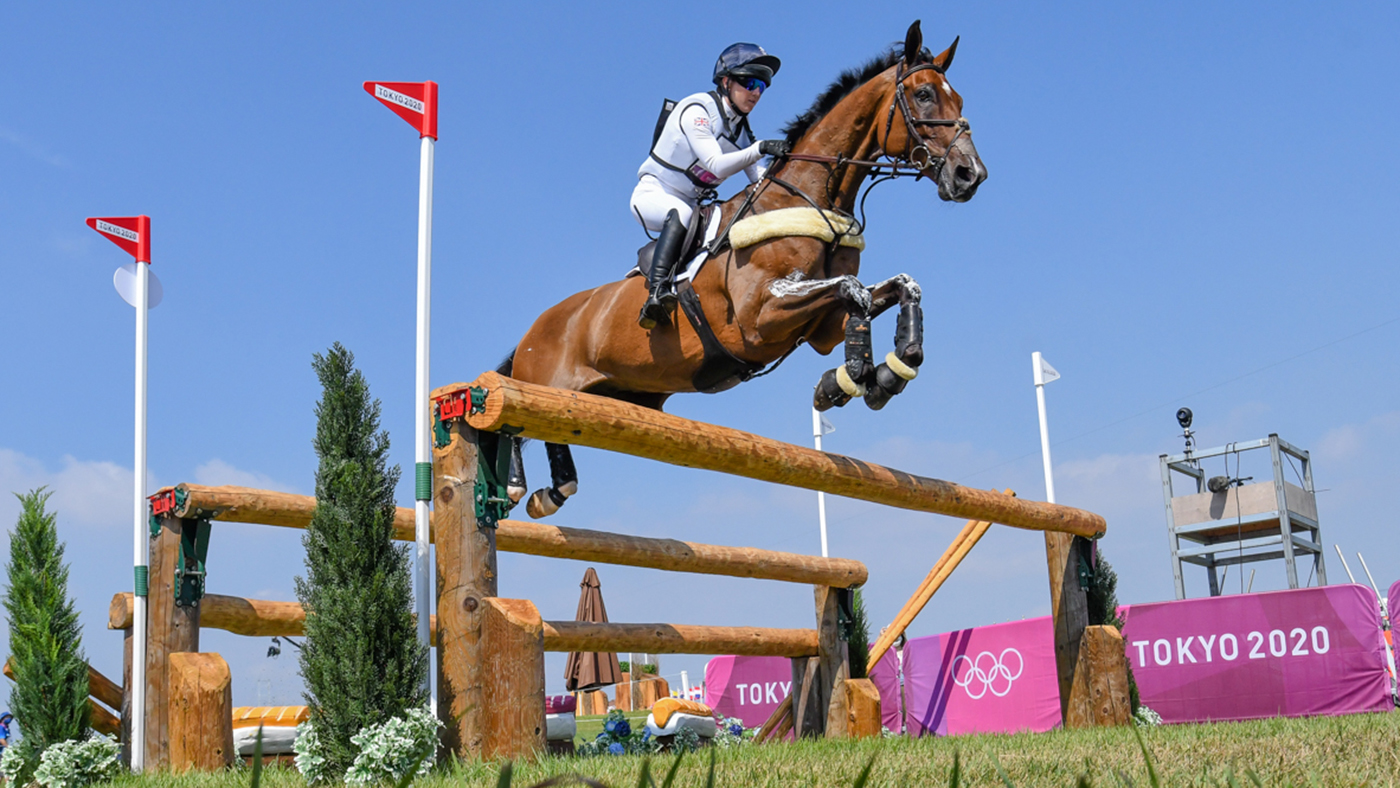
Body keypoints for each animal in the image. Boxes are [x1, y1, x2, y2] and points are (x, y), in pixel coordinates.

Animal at [502, 21, 988, 518]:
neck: (810, 198)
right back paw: (523, 488)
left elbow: (896, 289)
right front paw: (853, 377)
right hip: (546, 379)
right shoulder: (760, 319)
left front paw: (877, 375)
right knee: (515, 415)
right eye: (924, 94)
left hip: (613, 392)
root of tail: (532, 330)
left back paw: (551, 490)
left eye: (959, 100)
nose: (970, 175)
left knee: (555, 429)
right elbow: (854, 289)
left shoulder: (820, 327)